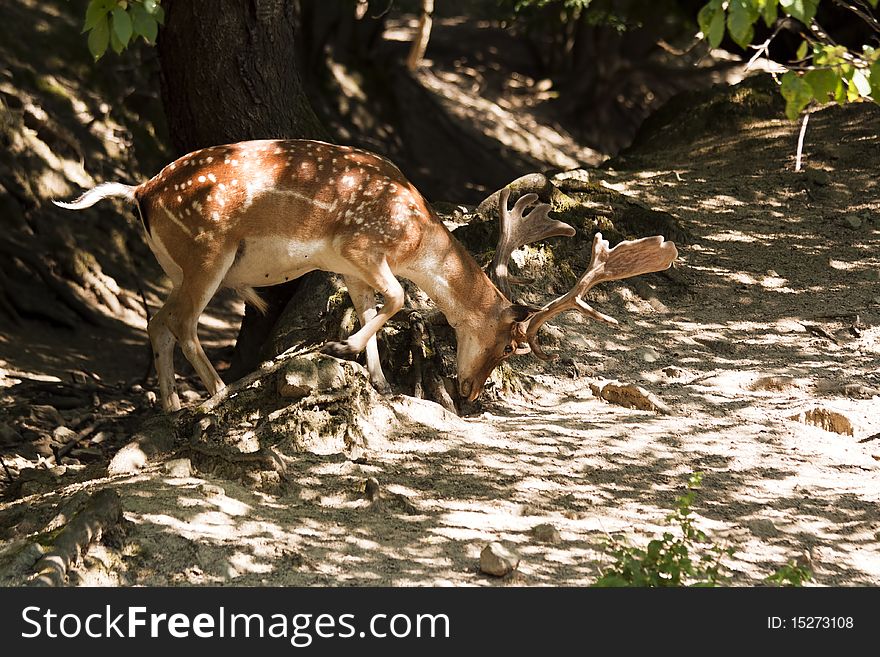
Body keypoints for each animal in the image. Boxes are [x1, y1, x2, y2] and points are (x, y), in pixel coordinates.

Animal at [55, 140, 676, 410]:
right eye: (506, 345)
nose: (468, 392)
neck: (415, 235)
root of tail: (140, 191)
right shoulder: (363, 245)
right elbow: (398, 299)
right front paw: (343, 348)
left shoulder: (347, 265)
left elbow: (371, 306)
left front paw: (379, 380)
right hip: (209, 252)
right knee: (181, 322)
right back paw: (218, 392)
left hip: (177, 262)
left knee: (157, 321)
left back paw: (170, 404)